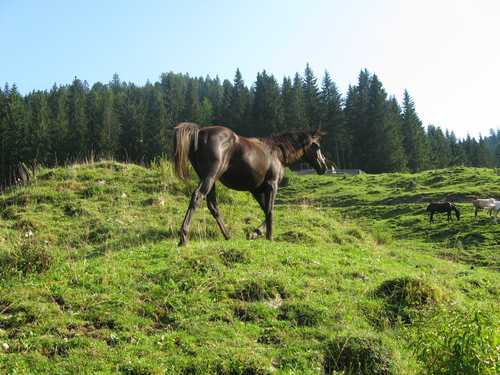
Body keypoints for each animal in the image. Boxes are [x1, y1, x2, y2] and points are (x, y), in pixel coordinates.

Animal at [174, 122, 330, 247]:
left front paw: (255, 233)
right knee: (197, 197)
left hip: (209, 179)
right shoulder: (272, 185)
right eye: (317, 146)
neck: (277, 153)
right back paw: (183, 237)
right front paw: (269, 237)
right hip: (210, 176)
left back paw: (227, 235)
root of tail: (200, 132)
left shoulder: (256, 190)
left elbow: (265, 209)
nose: (324, 167)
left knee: (212, 205)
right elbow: (270, 210)